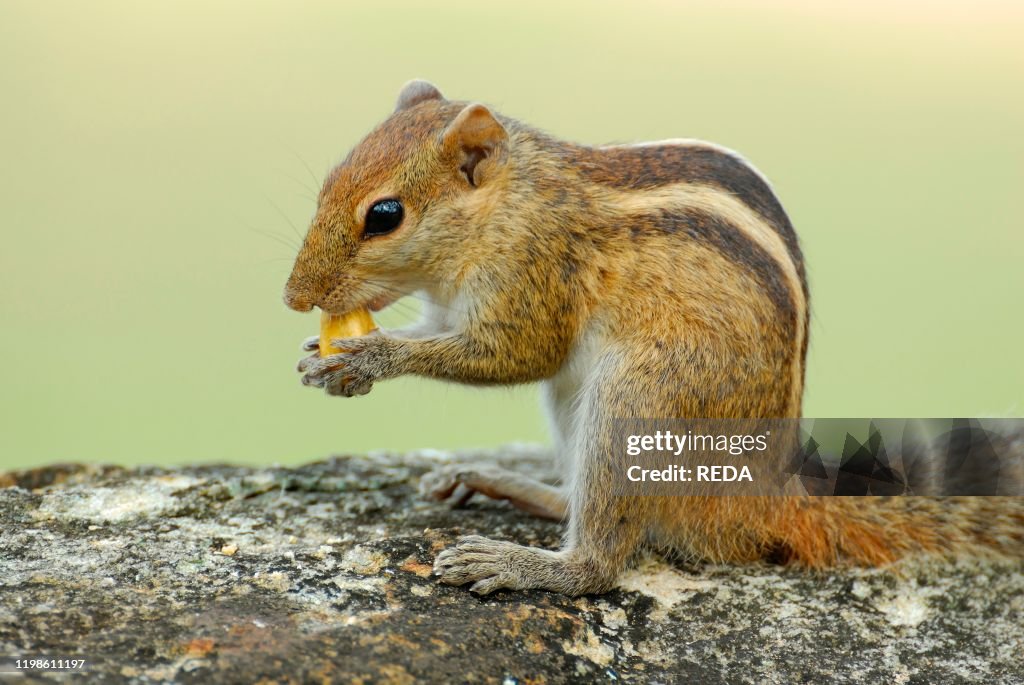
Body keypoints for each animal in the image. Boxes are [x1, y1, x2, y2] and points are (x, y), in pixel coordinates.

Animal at [284, 80, 1024, 596]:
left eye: (385, 215)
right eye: (326, 184)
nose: (293, 296)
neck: (507, 204)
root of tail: (762, 497)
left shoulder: (534, 272)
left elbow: (511, 354)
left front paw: (370, 357)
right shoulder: (451, 305)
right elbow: (439, 333)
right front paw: (325, 360)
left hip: (637, 395)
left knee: (602, 559)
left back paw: (530, 564)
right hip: (579, 402)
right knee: (583, 499)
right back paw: (504, 484)